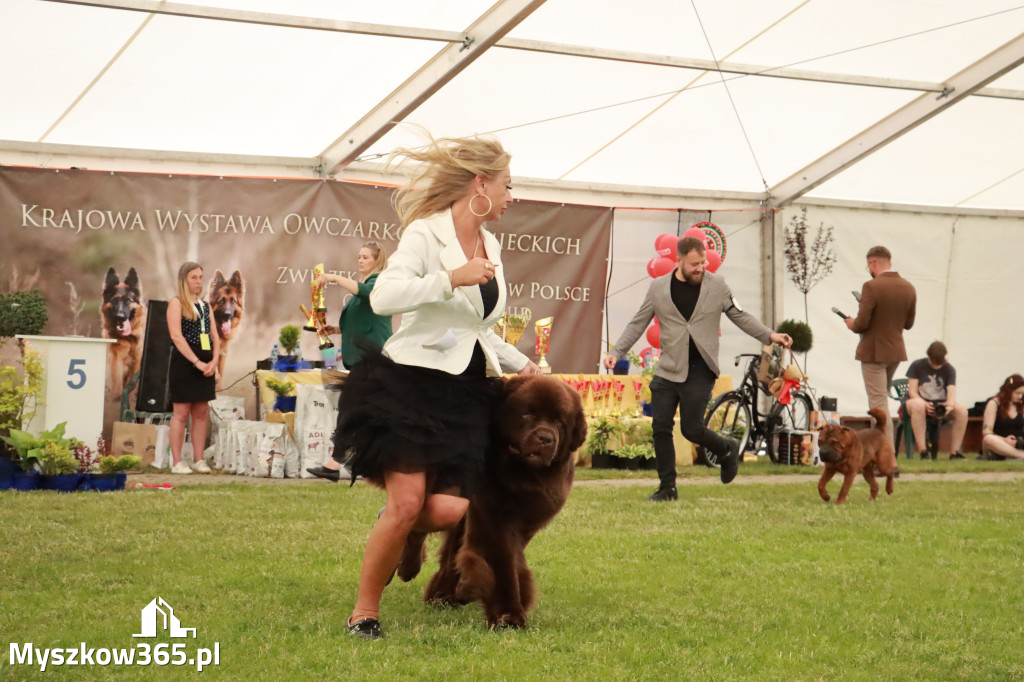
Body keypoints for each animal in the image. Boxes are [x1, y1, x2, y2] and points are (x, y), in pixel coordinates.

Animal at [419, 372, 589, 626]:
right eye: (528, 414)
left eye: (559, 421)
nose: (545, 438)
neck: (522, 477)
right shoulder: (493, 516)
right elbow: (501, 564)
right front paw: (508, 615)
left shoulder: (528, 522)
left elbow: (514, 558)